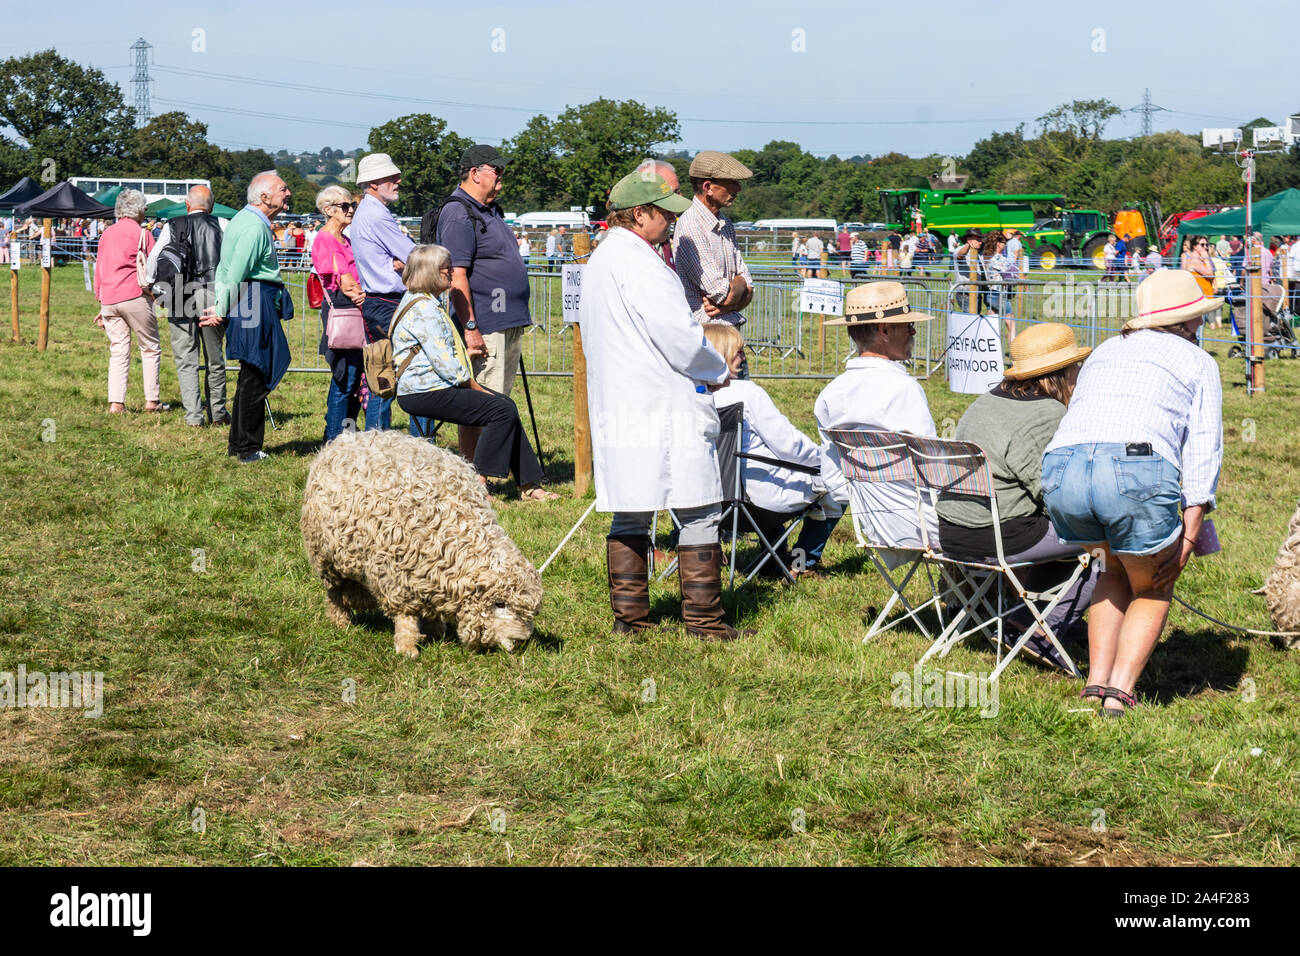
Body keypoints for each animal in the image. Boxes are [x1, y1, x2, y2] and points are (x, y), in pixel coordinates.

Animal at [300, 429, 543, 655]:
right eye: (500, 604)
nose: (522, 642)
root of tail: (348, 437)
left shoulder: (429, 574)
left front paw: (436, 632)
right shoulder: (395, 575)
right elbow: (405, 616)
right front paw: (408, 648)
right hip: (324, 556)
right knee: (334, 593)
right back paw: (340, 621)